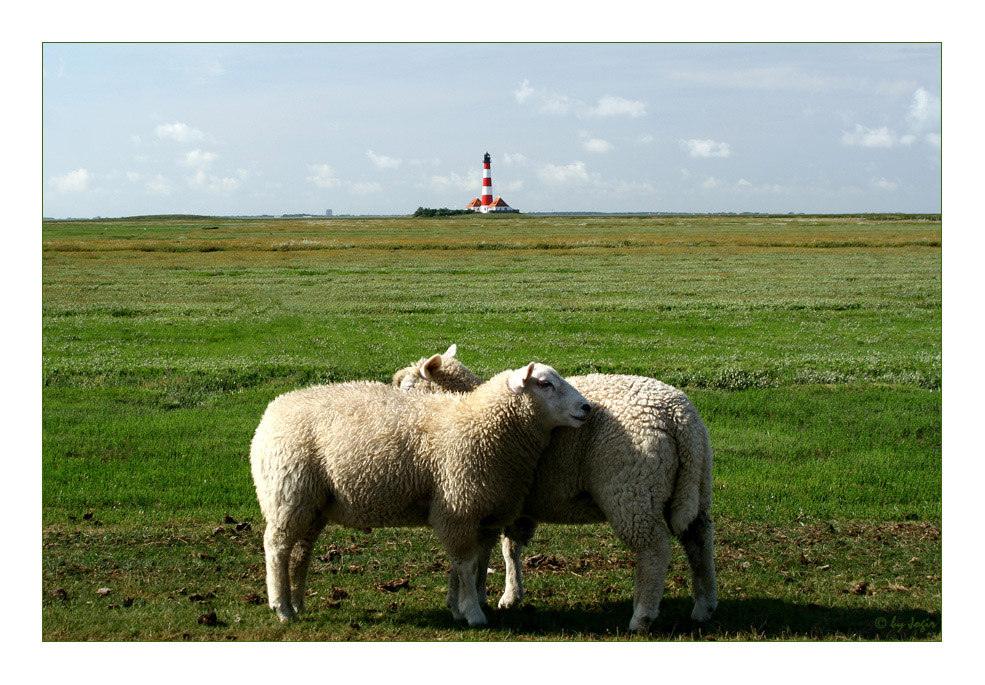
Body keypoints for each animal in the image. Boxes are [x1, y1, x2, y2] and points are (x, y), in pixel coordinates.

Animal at [252, 364, 592, 624]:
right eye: (545, 383)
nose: (586, 408)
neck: (479, 422)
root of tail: (271, 412)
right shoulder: (458, 506)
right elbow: (466, 564)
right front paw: (473, 613)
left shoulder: (480, 513)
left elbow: (469, 564)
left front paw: (459, 606)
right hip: (288, 494)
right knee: (277, 548)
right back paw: (282, 608)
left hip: (314, 504)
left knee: (300, 552)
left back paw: (297, 604)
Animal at [392, 348, 716, 632]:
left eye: (408, 387)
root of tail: (679, 416)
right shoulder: (507, 503)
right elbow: (506, 548)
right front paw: (507, 595)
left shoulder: (488, 496)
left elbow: (483, 552)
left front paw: (474, 598)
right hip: (693, 487)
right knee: (699, 540)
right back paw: (703, 607)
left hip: (632, 491)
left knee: (654, 550)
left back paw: (642, 617)